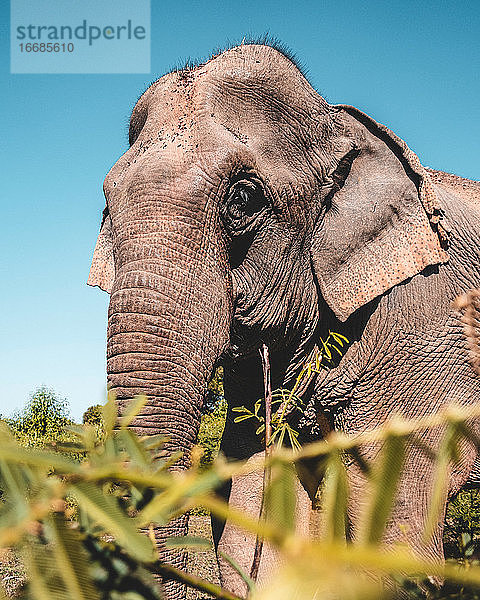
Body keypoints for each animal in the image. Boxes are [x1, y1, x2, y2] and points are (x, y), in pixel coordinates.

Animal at [88, 43, 480, 600]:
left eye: (242, 200)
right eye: (106, 208)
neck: (338, 123)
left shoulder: (423, 330)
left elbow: (394, 522)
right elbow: (259, 485)